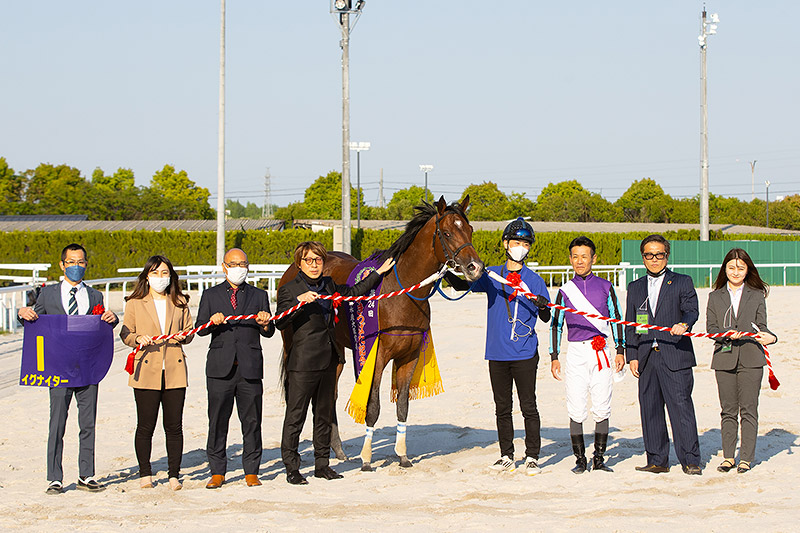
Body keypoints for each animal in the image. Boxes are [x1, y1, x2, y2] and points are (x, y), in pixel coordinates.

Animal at [278, 195, 484, 470]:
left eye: (470, 229)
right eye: (448, 232)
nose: (475, 267)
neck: (400, 292)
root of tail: (291, 269)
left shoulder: (409, 357)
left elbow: (403, 406)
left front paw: (403, 455)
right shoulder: (376, 357)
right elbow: (372, 406)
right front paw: (366, 459)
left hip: (337, 354)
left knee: (329, 395)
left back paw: (338, 449)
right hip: (292, 346)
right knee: (296, 392)